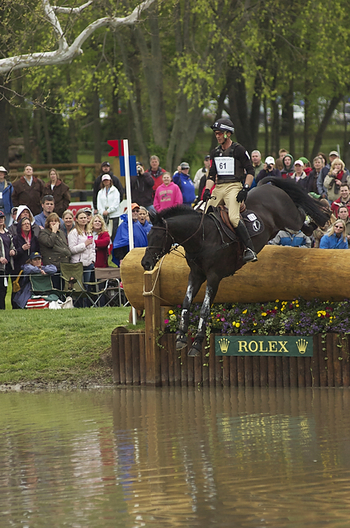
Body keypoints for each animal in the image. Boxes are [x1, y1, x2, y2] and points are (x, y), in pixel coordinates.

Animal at [141, 179, 330, 356]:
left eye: (158, 237)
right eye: (148, 235)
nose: (145, 263)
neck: (202, 237)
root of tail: (269, 186)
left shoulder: (214, 276)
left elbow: (204, 310)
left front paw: (196, 343)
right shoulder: (195, 275)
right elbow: (186, 302)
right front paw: (180, 337)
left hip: (290, 219)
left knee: (301, 214)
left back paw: (320, 219)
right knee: (303, 223)